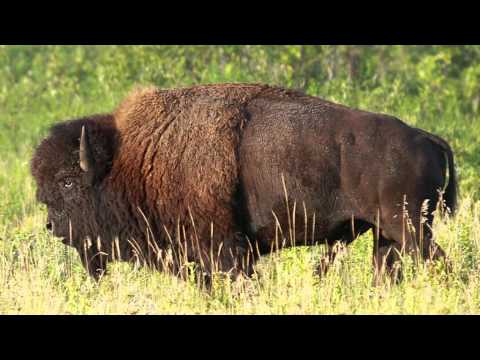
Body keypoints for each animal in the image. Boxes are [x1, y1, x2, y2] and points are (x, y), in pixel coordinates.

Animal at [31, 83, 458, 284]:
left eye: (67, 182)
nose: (51, 226)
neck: (133, 158)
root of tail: (428, 137)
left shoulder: (225, 249)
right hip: (386, 237)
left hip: (410, 228)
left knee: (441, 264)